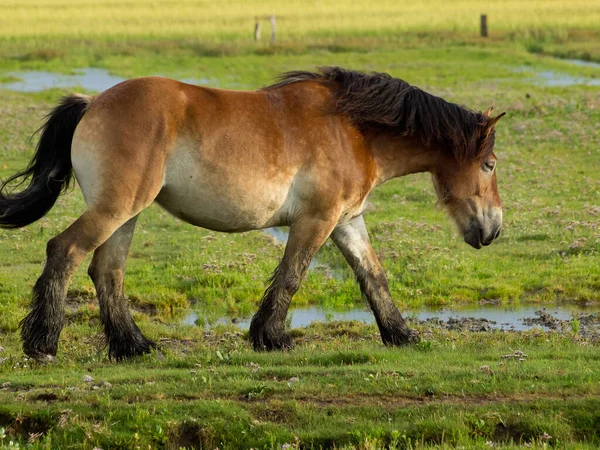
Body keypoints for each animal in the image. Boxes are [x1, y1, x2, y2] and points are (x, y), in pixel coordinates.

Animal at [0, 67, 504, 362]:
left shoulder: (346, 221)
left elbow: (372, 276)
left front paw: (400, 334)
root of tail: (92, 103)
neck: (355, 129)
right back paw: (43, 344)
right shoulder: (316, 221)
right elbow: (291, 275)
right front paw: (272, 337)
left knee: (107, 270)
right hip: (115, 208)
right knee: (64, 251)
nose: (494, 228)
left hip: (126, 214)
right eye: (490, 165)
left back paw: (133, 346)